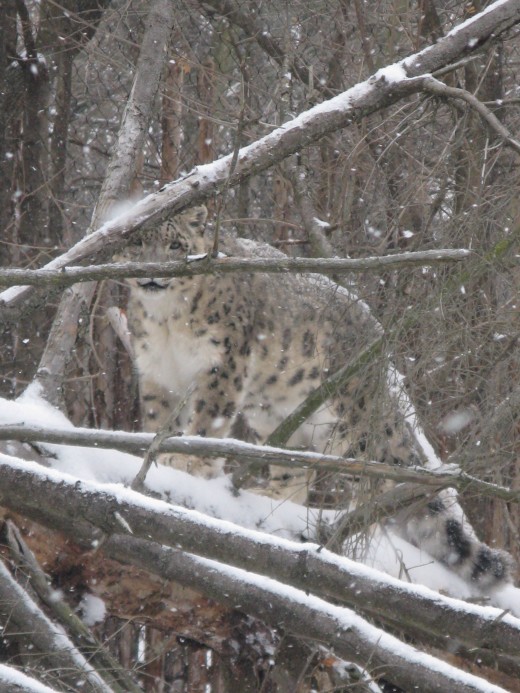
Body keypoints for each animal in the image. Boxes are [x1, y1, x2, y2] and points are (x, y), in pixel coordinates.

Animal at [117, 205, 514, 594]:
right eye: (138, 244)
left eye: (175, 245)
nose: (151, 272)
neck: (167, 318)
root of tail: (376, 336)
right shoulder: (156, 372)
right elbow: (159, 419)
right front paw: (153, 452)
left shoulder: (222, 364)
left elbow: (206, 421)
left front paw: (189, 462)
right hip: (274, 414)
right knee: (294, 471)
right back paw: (271, 497)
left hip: (351, 419)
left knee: (378, 474)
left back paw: (354, 518)